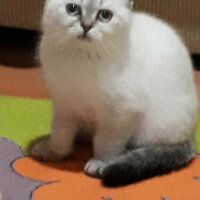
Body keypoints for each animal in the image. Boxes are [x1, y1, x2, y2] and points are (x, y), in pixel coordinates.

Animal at [32, 0, 198, 186]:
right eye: (72, 9)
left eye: (105, 15)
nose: (86, 26)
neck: (81, 58)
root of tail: (191, 137)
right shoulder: (64, 104)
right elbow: (61, 134)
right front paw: (54, 152)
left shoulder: (120, 115)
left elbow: (107, 143)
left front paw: (102, 163)